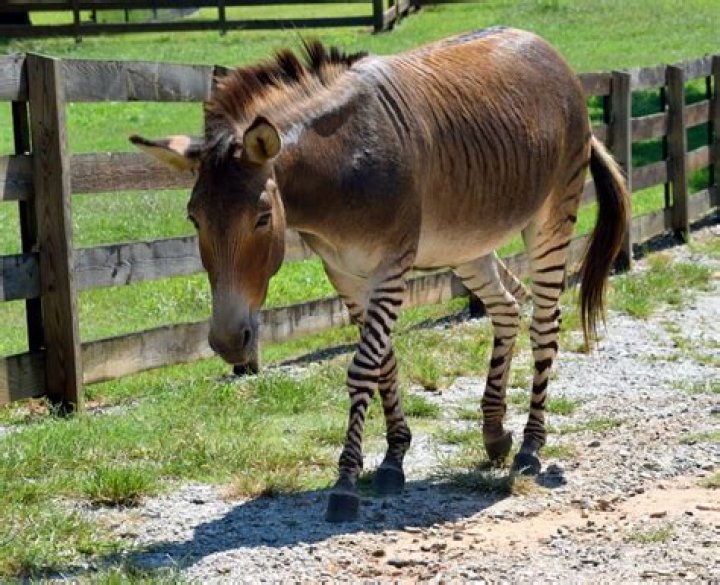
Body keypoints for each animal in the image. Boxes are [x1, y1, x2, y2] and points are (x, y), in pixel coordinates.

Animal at [131, 27, 630, 522]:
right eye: (194, 218)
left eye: (261, 218)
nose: (229, 343)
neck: (341, 167)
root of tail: (543, 44)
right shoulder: (345, 273)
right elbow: (385, 361)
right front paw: (394, 458)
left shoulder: (392, 265)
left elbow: (364, 366)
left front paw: (346, 483)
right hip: (467, 241)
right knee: (507, 307)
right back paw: (494, 432)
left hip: (551, 216)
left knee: (545, 323)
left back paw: (529, 445)